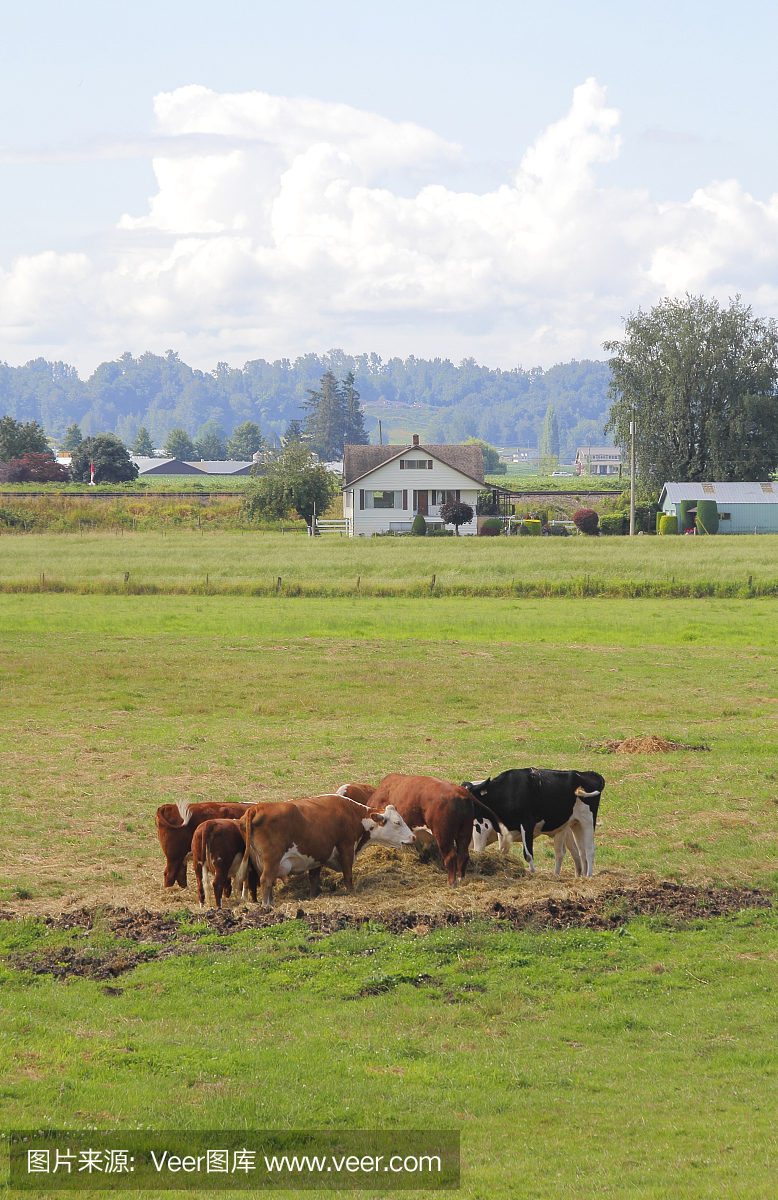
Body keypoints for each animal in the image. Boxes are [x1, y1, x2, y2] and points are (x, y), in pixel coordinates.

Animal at [234, 792, 415, 902]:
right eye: (397, 822)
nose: (413, 837)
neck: (353, 815)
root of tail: (256, 808)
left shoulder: (317, 855)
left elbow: (314, 879)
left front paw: (313, 896)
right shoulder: (346, 847)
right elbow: (348, 874)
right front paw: (350, 891)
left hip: (258, 862)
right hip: (272, 859)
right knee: (265, 880)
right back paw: (267, 906)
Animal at [461, 772, 607, 878]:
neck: (507, 791)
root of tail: (587, 773)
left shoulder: (527, 823)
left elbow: (528, 854)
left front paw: (533, 873)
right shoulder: (504, 831)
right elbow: (502, 851)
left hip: (587, 820)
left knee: (589, 849)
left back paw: (589, 876)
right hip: (576, 823)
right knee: (581, 850)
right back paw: (582, 876)